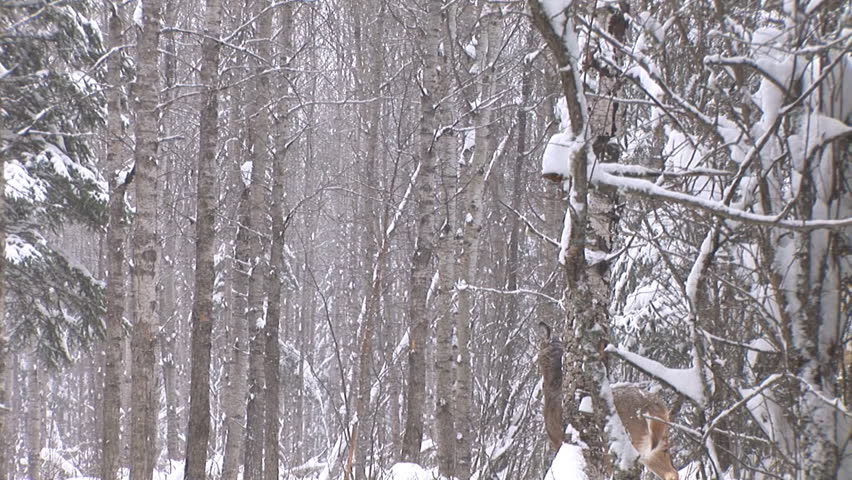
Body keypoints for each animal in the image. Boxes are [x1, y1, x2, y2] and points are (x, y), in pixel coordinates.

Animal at [537, 322, 679, 480]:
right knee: (671, 472)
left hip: (627, 440)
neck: (553, 388)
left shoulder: (558, 439)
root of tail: (653, 403)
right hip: (658, 444)